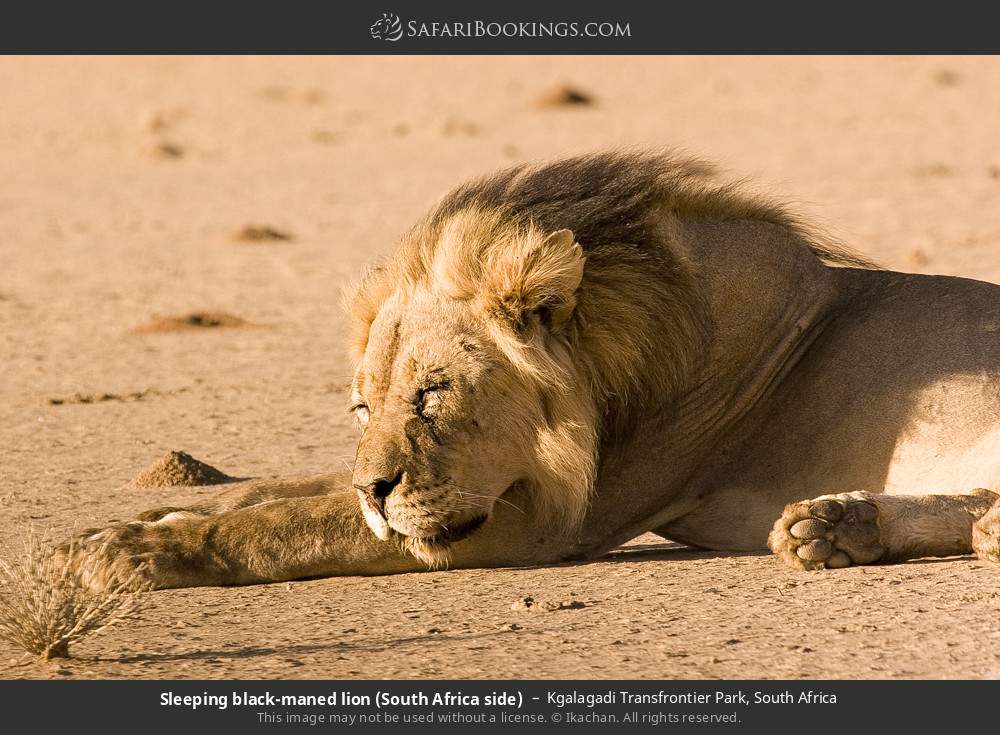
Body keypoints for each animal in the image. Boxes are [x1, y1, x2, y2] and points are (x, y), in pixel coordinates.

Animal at [64, 151, 1000, 589]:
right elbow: (278, 490)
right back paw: (836, 526)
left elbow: (297, 523)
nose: (378, 491)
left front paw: (138, 551)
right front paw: (123, 521)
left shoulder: (549, 522)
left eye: (433, 395)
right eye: (364, 409)